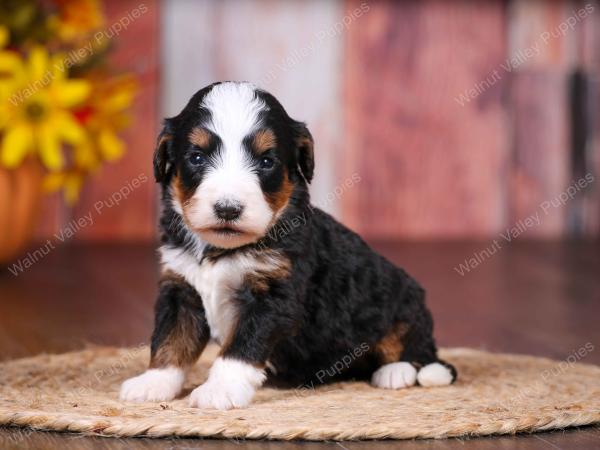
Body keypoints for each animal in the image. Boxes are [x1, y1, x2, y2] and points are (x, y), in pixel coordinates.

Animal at [119, 80, 454, 408]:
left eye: (267, 161)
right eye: (197, 157)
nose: (228, 209)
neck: (221, 250)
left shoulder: (274, 296)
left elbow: (241, 348)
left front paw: (220, 390)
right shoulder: (180, 288)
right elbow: (170, 339)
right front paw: (153, 383)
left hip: (403, 300)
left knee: (416, 348)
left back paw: (397, 372)